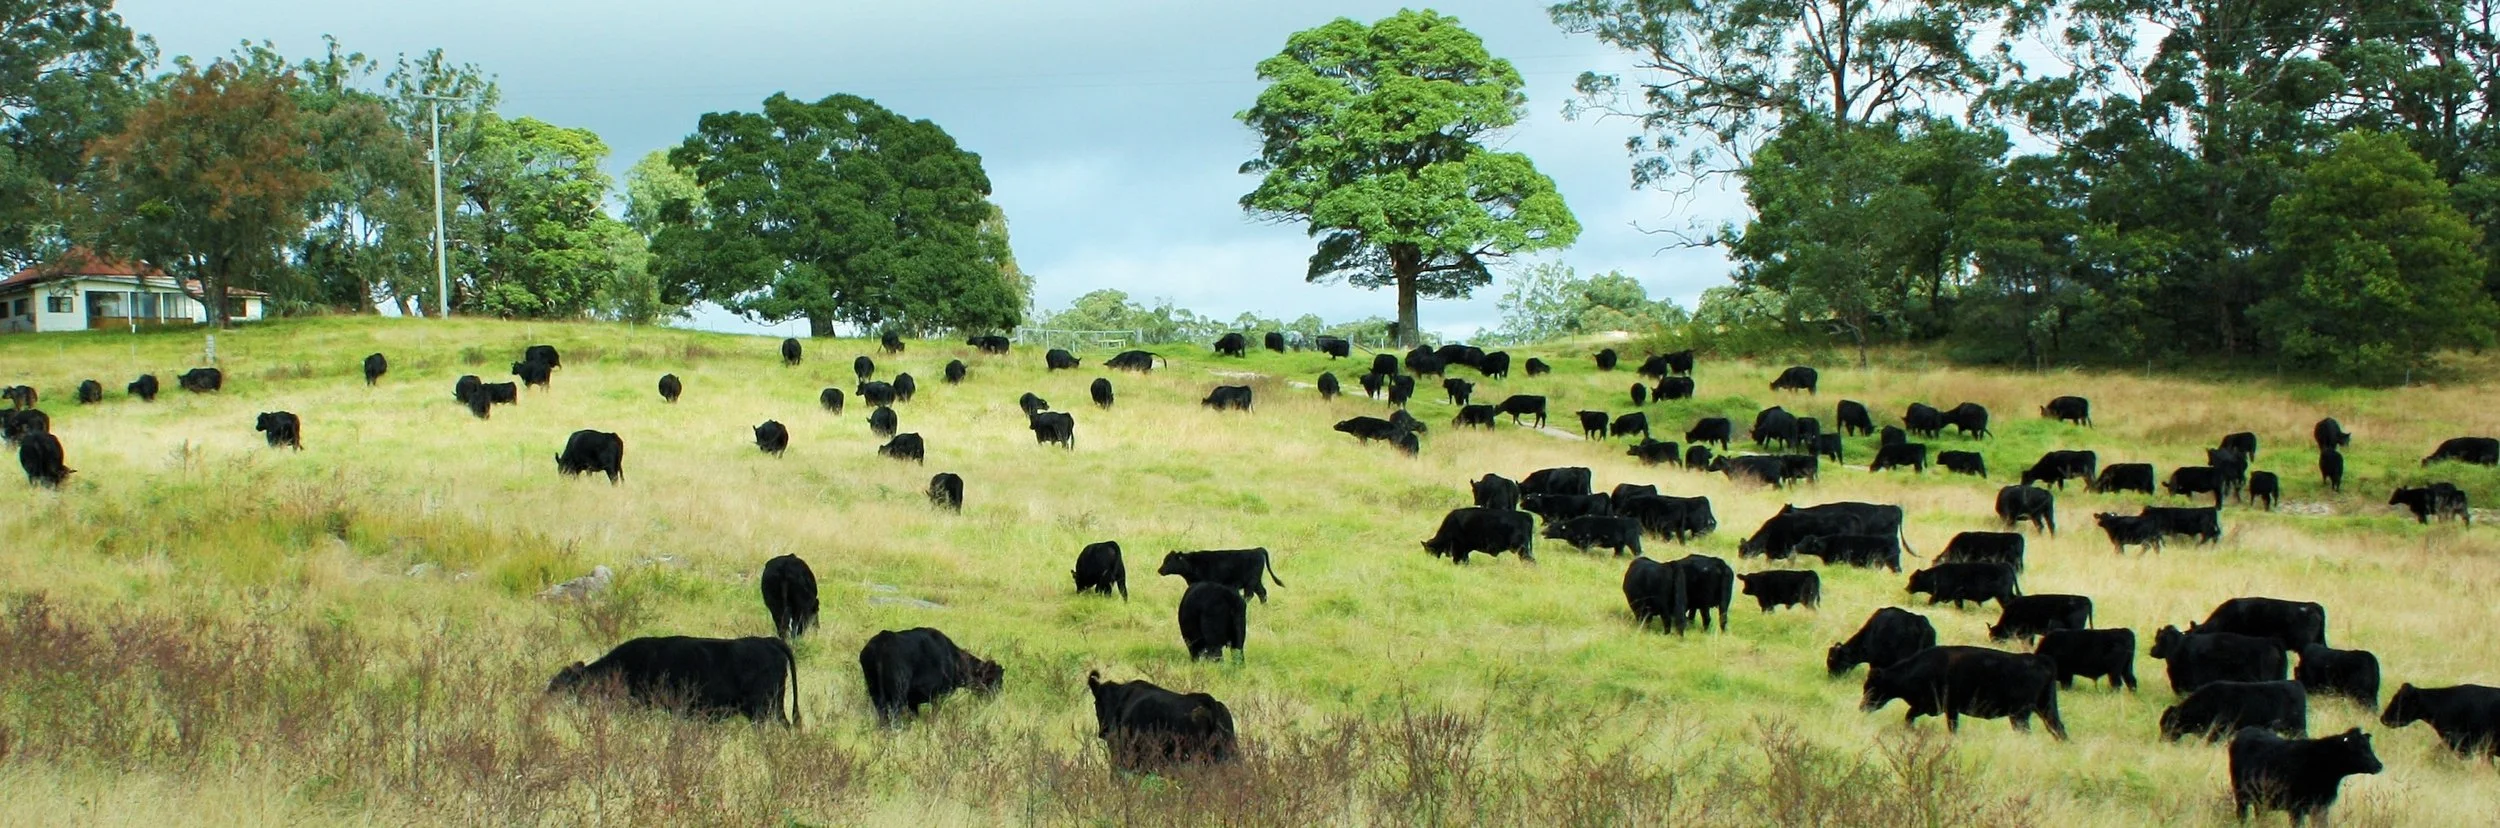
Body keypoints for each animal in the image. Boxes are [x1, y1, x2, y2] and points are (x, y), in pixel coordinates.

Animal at [859, 628, 1003, 725]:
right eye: (994, 680)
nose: (996, 697)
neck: (955, 660)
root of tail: (881, 644)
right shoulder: (938, 695)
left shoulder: (913, 701)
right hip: (898, 690)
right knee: (894, 715)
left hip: (874, 690)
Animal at [1859, 646, 2067, 739]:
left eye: (1871, 686)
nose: (1862, 707)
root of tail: (2041, 660)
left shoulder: (1940, 707)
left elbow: (1911, 716)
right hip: (2044, 707)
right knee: (2058, 727)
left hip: (2020, 714)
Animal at [2228, 727, 2382, 825]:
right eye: (2358, 749)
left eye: (2369, 747)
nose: (2379, 765)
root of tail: (2246, 731)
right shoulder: (2296, 808)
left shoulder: (2321, 808)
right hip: (2241, 795)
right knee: (2242, 815)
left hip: (2260, 799)